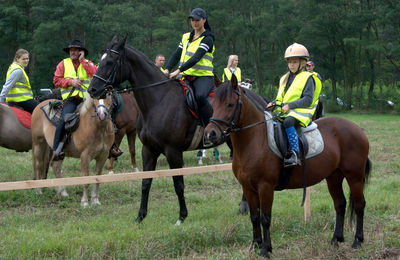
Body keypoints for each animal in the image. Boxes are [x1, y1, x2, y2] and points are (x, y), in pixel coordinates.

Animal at [205, 76, 370, 258]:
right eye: (213, 104)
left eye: (230, 104)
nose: (210, 134)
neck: (255, 139)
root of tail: (357, 129)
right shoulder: (248, 188)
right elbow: (254, 217)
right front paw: (255, 245)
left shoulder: (265, 187)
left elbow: (265, 218)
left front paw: (265, 249)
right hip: (333, 176)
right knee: (340, 204)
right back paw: (336, 239)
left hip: (354, 176)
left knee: (359, 205)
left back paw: (358, 241)